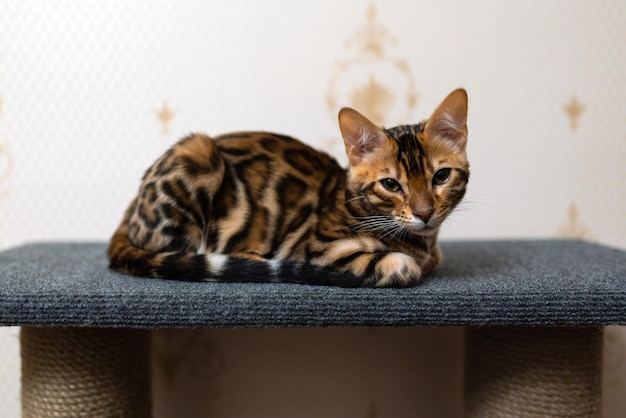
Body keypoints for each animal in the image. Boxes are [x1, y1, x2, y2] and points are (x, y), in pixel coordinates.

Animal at [107, 86, 468, 286]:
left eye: (441, 177)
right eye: (391, 184)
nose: (424, 213)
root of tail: (129, 212)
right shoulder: (321, 250)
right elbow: (396, 265)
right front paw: (403, 262)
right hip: (197, 152)